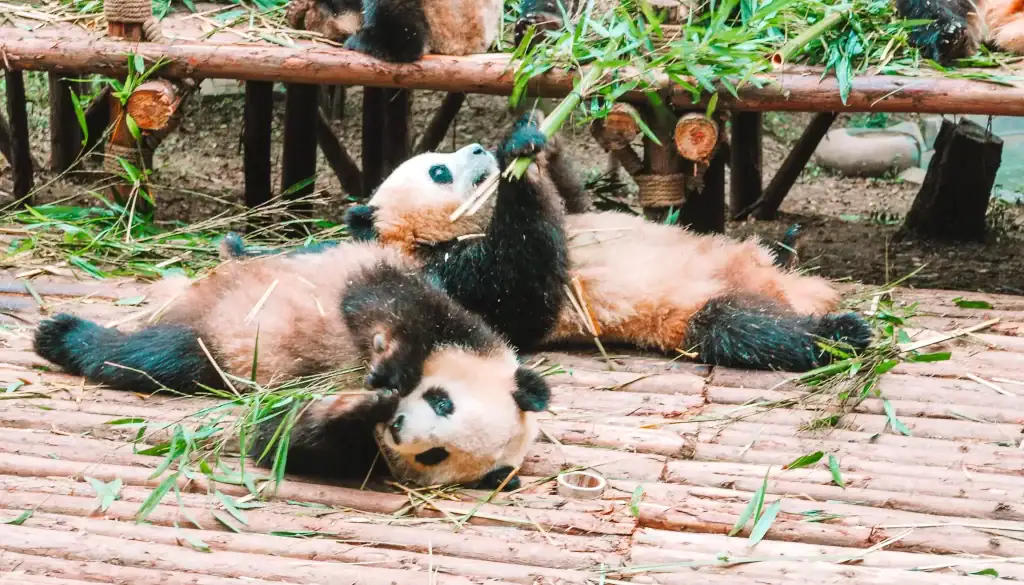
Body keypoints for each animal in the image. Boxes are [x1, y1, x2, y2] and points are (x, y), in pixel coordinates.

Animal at [32, 242, 550, 491]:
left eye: (435, 455)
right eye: (444, 403)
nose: (400, 425)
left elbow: (282, 437)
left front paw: (359, 408)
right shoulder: (443, 315)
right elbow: (389, 304)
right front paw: (390, 373)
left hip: (212, 353)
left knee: (156, 357)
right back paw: (60, 334)